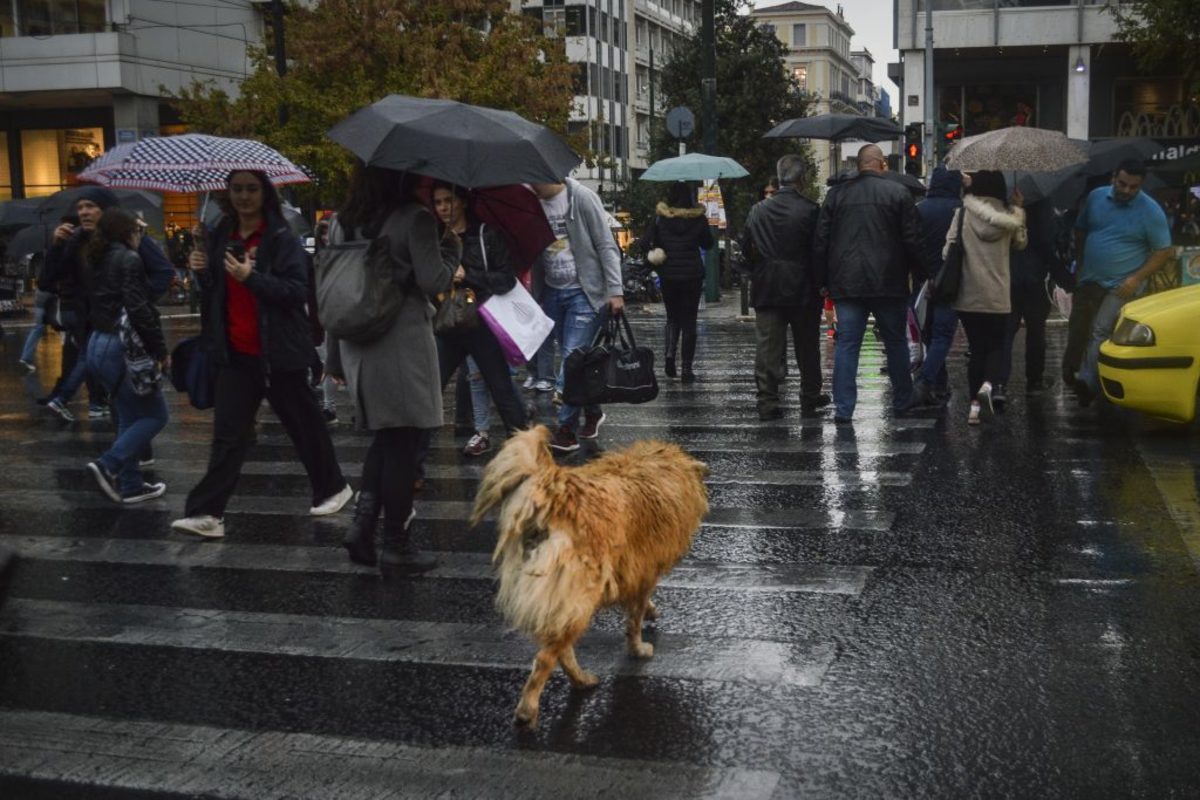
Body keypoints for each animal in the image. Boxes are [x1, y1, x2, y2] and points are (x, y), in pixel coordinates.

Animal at [468, 429, 705, 729]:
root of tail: (551, 499)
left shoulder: (636, 567)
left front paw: (650, 612)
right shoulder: (645, 567)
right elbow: (635, 618)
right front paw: (637, 647)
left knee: (560, 648)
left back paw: (580, 681)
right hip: (579, 594)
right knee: (546, 657)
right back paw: (530, 708)